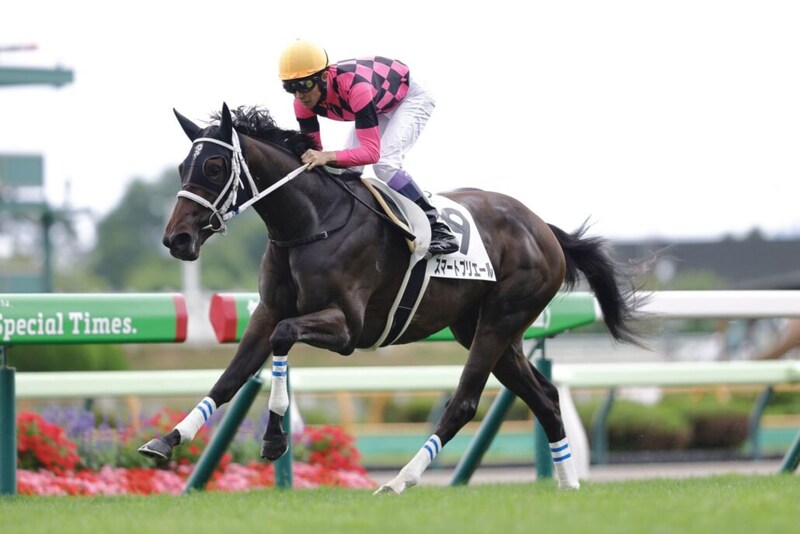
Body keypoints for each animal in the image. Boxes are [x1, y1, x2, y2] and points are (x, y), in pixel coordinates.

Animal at [139, 102, 644, 494]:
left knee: (464, 403)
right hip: (484, 329)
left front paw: (275, 438)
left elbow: (283, 338)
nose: (176, 240)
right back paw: (567, 483)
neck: (312, 222)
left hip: (501, 319)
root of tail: (545, 229)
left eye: (214, 167)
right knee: (545, 397)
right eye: (183, 168)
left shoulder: (347, 327)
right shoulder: (268, 311)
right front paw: (167, 440)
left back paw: (401, 480)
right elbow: (230, 378)